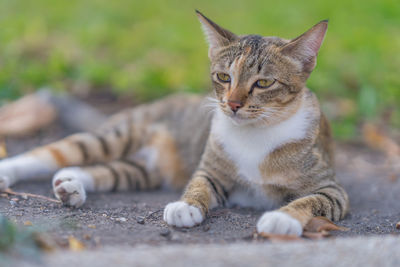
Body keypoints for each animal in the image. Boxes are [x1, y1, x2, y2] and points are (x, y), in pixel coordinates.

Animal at [0, 11, 346, 237]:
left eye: (263, 83)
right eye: (224, 77)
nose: (232, 104)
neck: (256, 134)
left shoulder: (332, 188)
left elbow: (314, 201)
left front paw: (282, 219)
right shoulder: (211, 171)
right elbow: (199, 184)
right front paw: (186, 206)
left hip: (143, 170)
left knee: (106, 170)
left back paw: (71, 185)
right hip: (119, 134)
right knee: (55, 152)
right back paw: (11, 172)